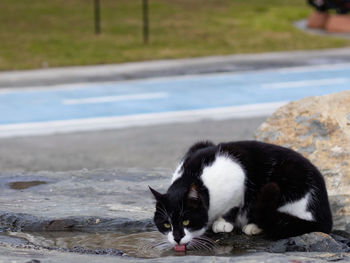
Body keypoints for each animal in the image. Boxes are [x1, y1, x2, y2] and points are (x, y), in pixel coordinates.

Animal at [149, 141, 332, 246]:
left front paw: (223, 223)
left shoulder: (238, 176)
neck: (194, 176)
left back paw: (253, 226)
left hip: (288, 176)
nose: (177, 238)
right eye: (166, 224)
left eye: (186, 221)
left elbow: (234, 205)